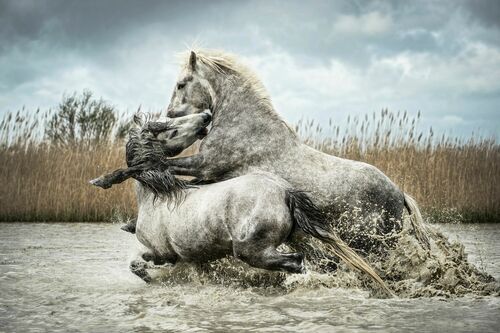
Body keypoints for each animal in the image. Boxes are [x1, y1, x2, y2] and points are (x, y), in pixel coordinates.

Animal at [165, 49, 430, 252]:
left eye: (181, 84)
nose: (169, 114)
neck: (244, 124)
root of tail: (399, 194)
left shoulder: (205, 164)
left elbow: (169, 164)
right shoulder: (210, 174)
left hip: (372, 242)